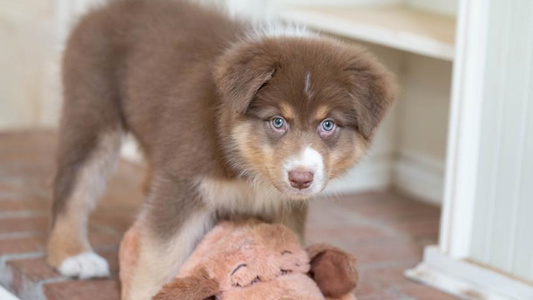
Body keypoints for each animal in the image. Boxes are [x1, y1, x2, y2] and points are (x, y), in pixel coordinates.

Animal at [46, 0, 394, 298]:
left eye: (328, 125)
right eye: (278, 121)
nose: (300, 178)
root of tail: (107, 9)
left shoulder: (284, 205)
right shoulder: (185, 183)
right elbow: (159, 255)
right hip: (93, 113)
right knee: (74, 188)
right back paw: (73, 254)